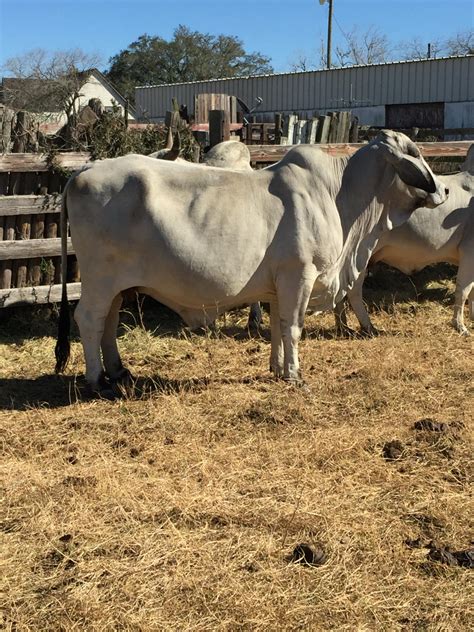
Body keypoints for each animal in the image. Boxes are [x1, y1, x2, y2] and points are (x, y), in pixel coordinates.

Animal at [55, 130, 448, 392]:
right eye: (414, 151)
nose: (443, 189)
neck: (338, 196)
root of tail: (82, 172)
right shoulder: (299, 275)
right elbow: (293, 327)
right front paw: (295, 375)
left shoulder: (277, 286)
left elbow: (276, 327)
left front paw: (276, 369)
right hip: (100, 278)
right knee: (88, 318)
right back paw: (96, 379)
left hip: (116, 283)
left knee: (107, 321)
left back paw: (119, 372)